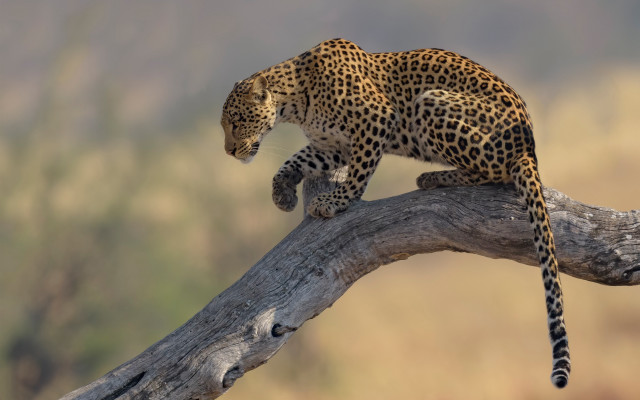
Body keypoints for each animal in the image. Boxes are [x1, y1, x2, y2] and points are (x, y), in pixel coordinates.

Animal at [221, 38, 570, 388]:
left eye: (236, 122)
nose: (229, 151)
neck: (294, 101)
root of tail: (528, 145)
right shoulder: (331, 146)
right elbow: (292, 161)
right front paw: (282, 194)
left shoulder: (375, 119)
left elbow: (359, 170)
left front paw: (337, 200)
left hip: (432, 102)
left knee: (494, 172)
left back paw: (433, 177)